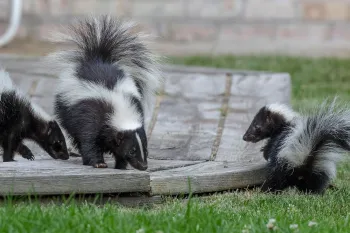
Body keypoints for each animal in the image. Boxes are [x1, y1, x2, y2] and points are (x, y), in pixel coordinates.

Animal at [47, 15, 162, 170]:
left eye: (146, 149)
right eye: (132, 150)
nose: (143, 166)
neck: (118, 103)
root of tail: (98, 58)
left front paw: (121, 165)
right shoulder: (92, 117)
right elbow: (89, 142)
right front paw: (98, 163)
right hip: (66, 108)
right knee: (74, 134)